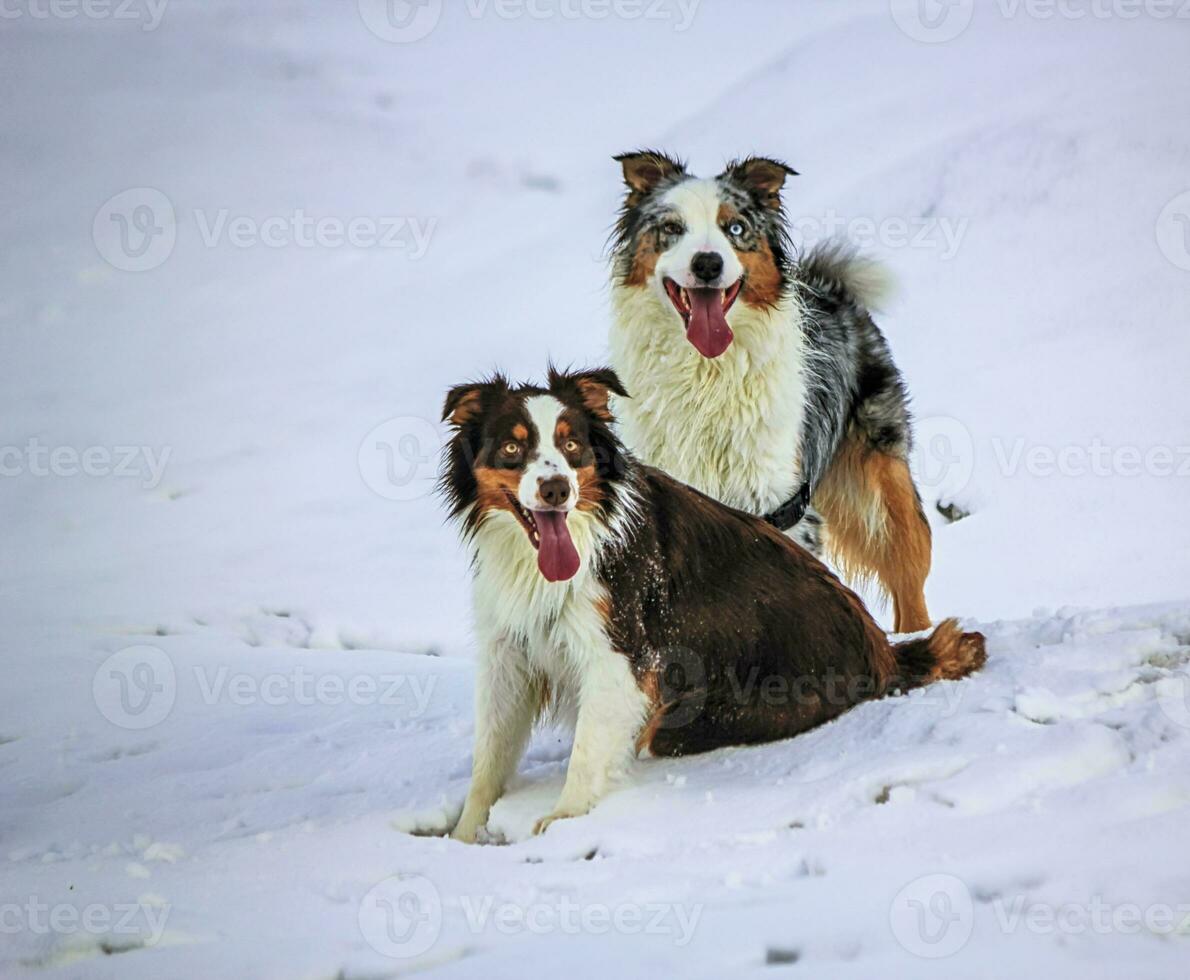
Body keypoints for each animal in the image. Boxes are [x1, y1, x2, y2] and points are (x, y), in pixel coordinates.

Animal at [614, 149, 937, 632]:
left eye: (735, 228)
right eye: (672, 228)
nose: (707, 264)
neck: (706, 374)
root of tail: (832, 287)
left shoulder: (780, 502)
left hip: (879, 485)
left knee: (908, 571)